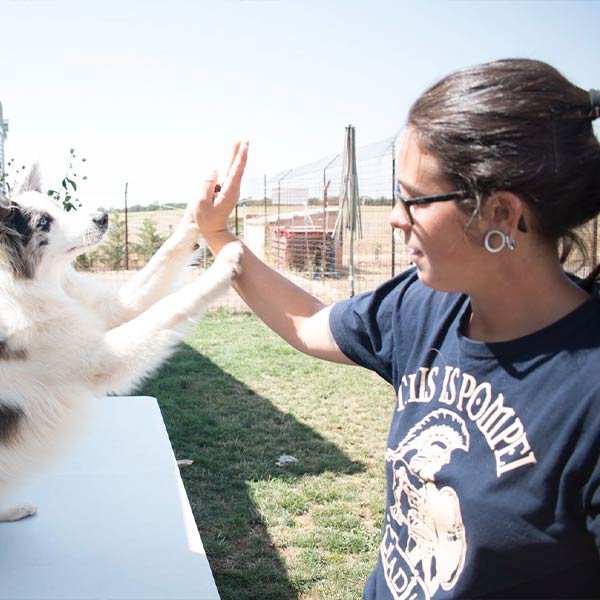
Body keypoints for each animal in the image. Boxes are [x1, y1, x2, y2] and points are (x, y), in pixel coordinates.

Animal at [0, 169, 239, 520]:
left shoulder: (110, 307)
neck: (28, 285)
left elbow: (159, 267)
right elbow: (165, 308)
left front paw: (202, 208)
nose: (103, 217)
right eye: (43, 222)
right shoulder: (99, 359)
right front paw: (223, 267)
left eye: (58, 207)